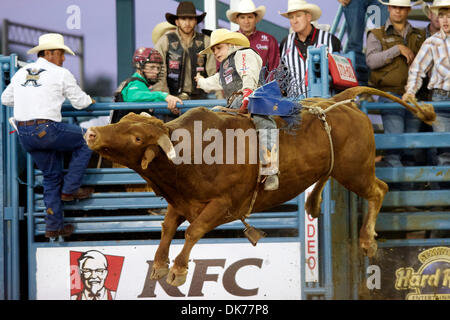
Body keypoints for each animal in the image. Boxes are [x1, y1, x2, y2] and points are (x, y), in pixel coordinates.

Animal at [85, 86, 436, 286]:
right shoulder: (181, 201)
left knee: (379, 190)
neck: (191, 153)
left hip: (355, 171)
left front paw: (179, 271)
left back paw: (367, 241)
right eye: (121, 121)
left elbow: (193, 231)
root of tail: (339, 102)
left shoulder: (223, 206)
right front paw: (159, 266)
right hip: (343, 170)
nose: (92, 133)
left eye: (137, 137)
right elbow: (168, 227)